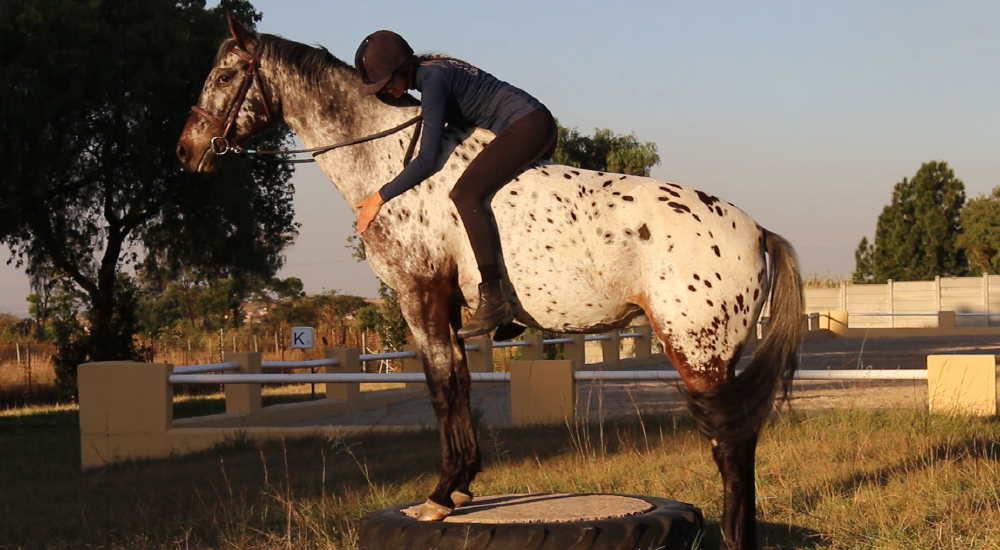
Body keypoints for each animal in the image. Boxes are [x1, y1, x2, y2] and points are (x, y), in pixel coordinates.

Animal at [176, 15, 803, 550]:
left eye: (225, 75)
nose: (188, 151)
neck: (391, 164)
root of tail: (757, 231)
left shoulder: (420, 298)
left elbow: (441, 388)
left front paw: (440, 494)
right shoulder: (448, 308)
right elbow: (460, 384)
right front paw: (461, 486)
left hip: (698, 351)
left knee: (731, 445)